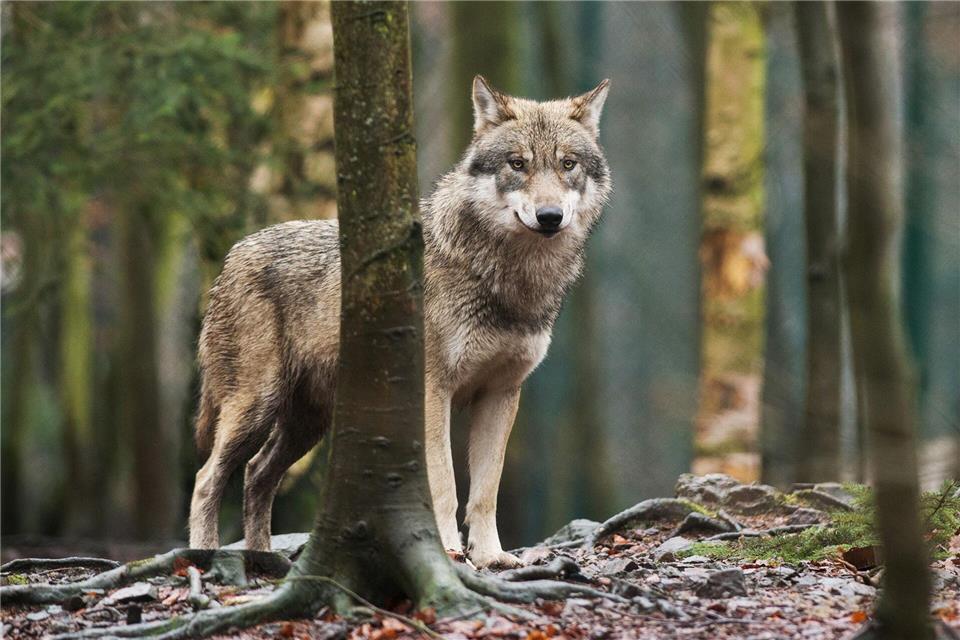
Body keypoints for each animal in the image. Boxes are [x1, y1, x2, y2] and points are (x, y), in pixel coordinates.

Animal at [188, 76, 611, 569]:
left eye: (567, 164)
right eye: (517, 164)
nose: (549, 216)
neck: (508, 280)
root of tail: (232, 255)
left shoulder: (501, 394)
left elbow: (486, 490)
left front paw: (491, 557)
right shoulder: (432, 391)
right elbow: (445, 485)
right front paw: (447, 551)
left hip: (307, 424)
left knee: (257, 475)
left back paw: (263, 560)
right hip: (256, 407)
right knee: (206, 479)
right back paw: (204, 556)